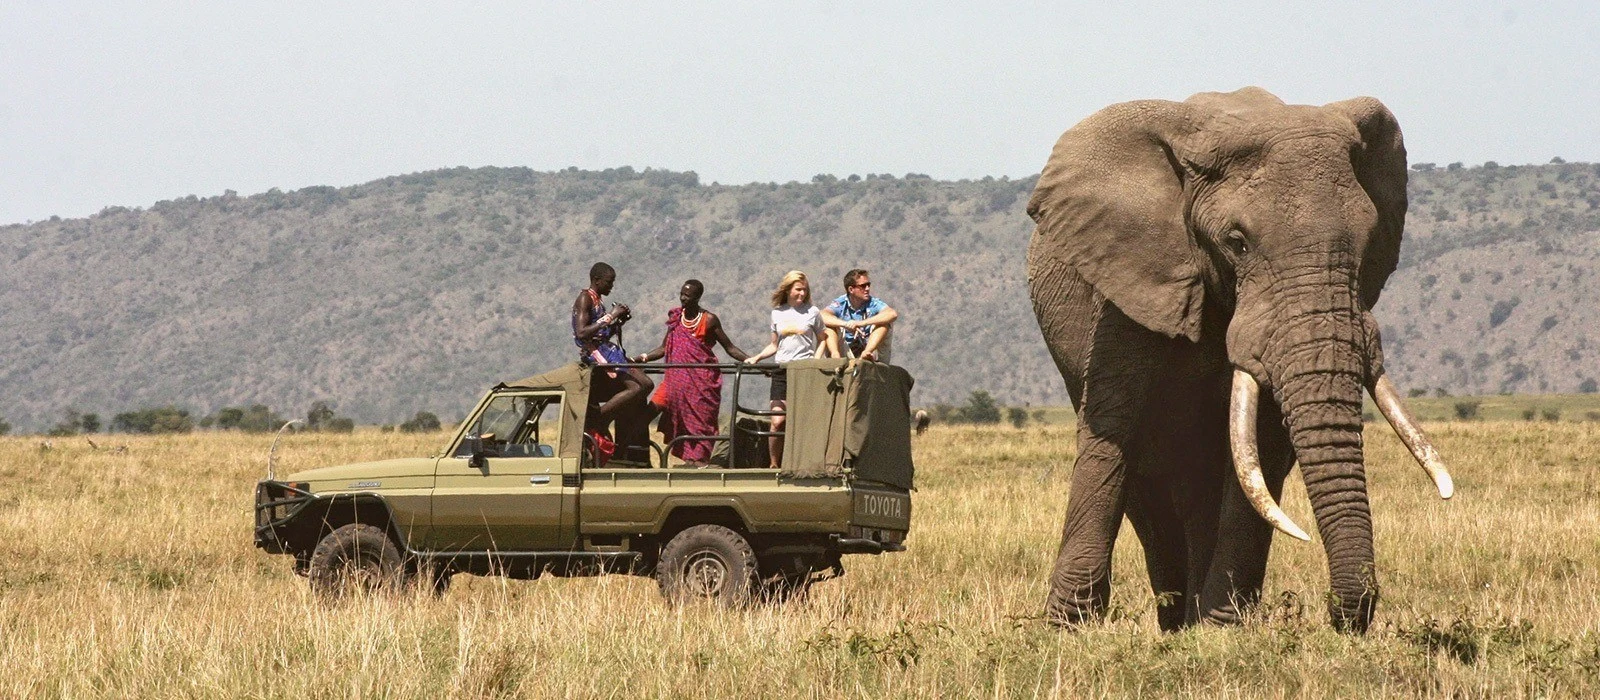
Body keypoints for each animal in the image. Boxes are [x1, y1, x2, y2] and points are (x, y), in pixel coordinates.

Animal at [1024, 87, 1453, 633]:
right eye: (1237, 243)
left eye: (1368, 242)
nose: (1343, 617)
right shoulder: (1129, 281)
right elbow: (1114, 428)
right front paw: (1067, 628)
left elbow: (1262, 445)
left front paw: (1221, 628)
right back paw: (1171, 619)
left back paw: (1189, 619)